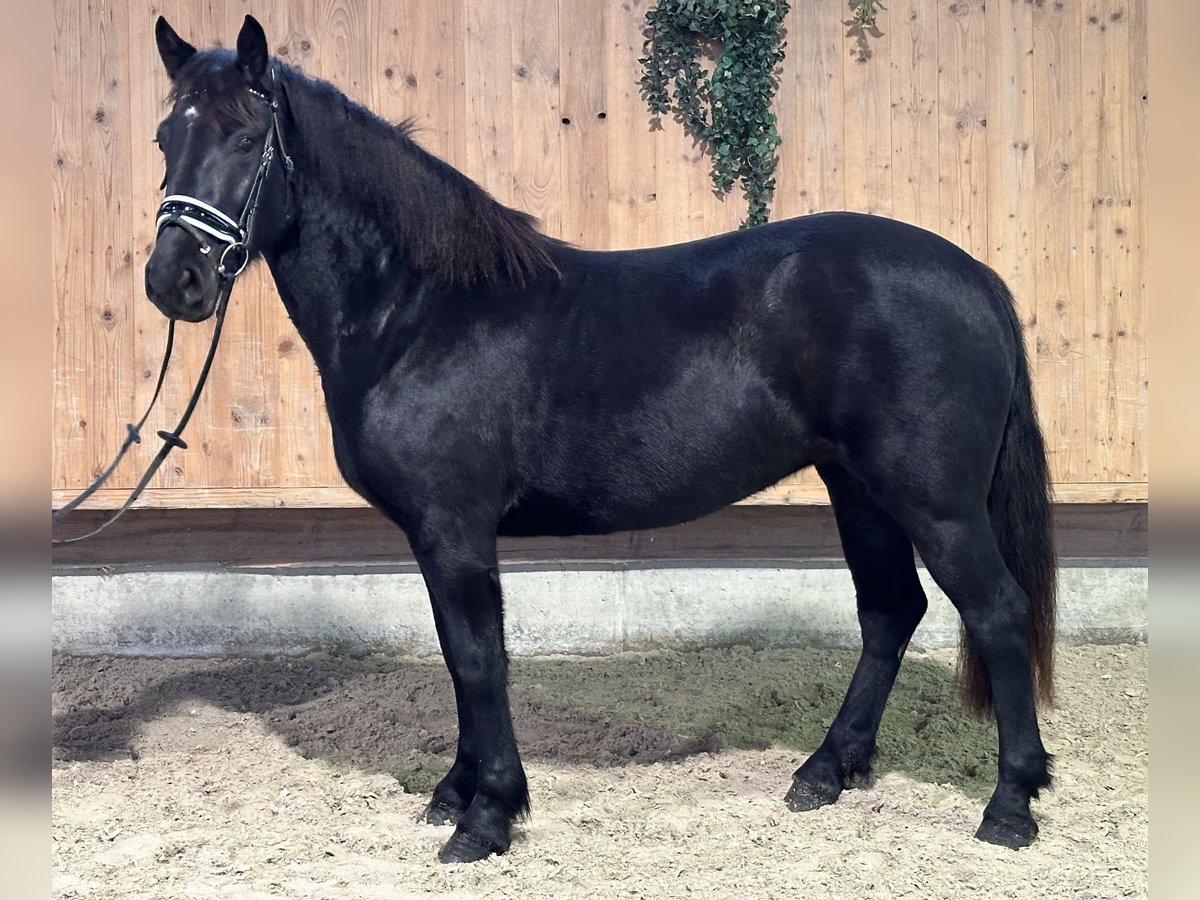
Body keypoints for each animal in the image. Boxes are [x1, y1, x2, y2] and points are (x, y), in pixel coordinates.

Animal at [145, 15, 1056, 868]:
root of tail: (976, 277)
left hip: (934, 502)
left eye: (245, 136)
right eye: (165, 138)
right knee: (890, 611)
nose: (172, 280)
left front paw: (487, 817)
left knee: (997, 610)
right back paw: (825, 772)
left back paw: (1010, 807)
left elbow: (479, 660)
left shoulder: (454, 527)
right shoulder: (435, 536)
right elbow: (458, 656)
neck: (418, 312)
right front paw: (456, 792)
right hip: (860, 490)